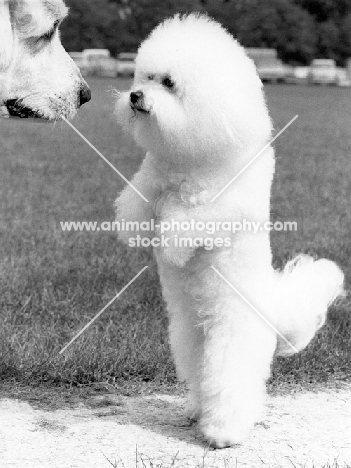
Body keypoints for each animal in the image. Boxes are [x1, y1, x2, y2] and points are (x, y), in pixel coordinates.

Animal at [115, 13, 344, 446]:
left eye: (168, 82)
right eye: (144, 76)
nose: (135, 95)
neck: (194, 159)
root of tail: (271, 308)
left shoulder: (223, 205)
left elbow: (190, 219)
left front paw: (171, 244)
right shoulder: (153, 178)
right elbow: (139, 198)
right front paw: (133, 226)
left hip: (233, 336)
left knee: (231, 382)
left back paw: (223, 431)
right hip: (189, 334)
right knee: (199, 375)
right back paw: (196, 411)